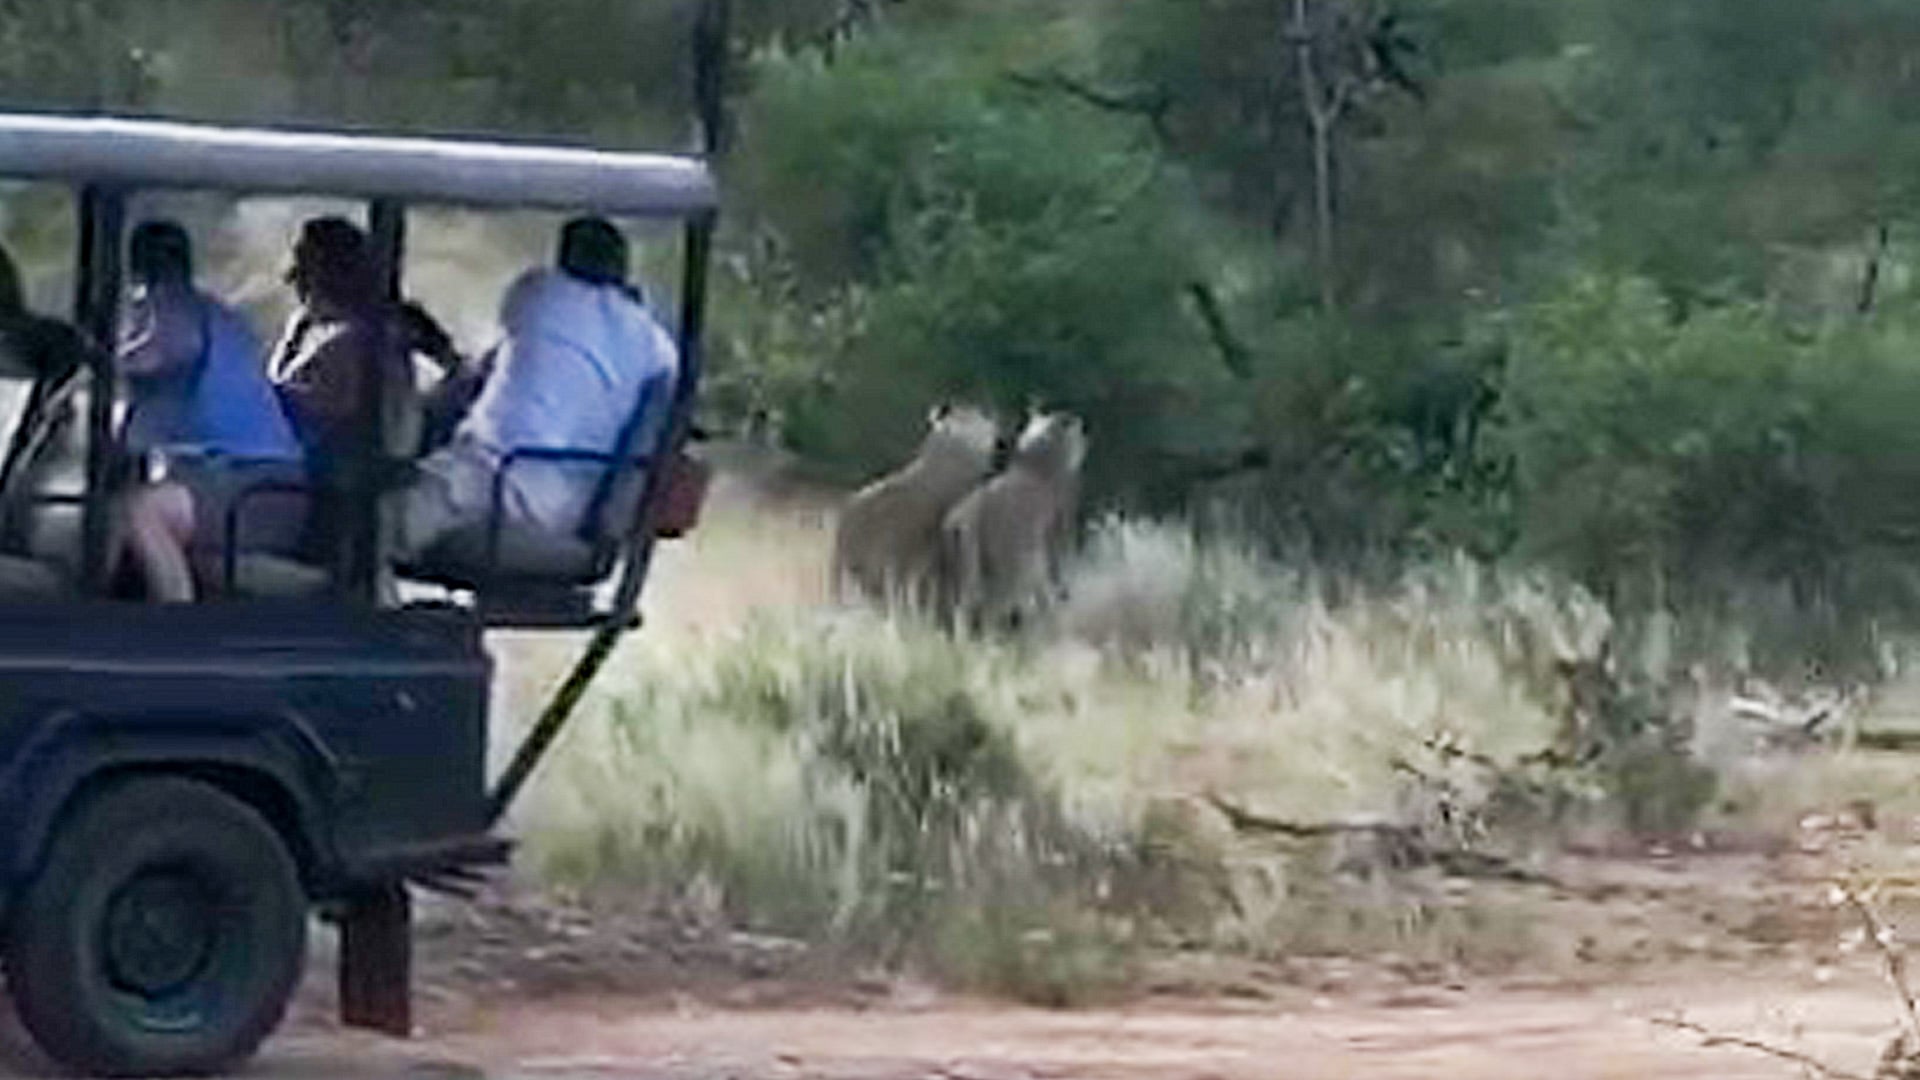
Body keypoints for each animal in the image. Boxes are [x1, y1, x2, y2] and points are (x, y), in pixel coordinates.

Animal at [939, 410, 1088, 627]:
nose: (1085, 437)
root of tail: (970, 514)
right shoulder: (1050, 539)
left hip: (971, 571)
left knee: (966, 608)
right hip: (1009, 565)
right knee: (995, 606)